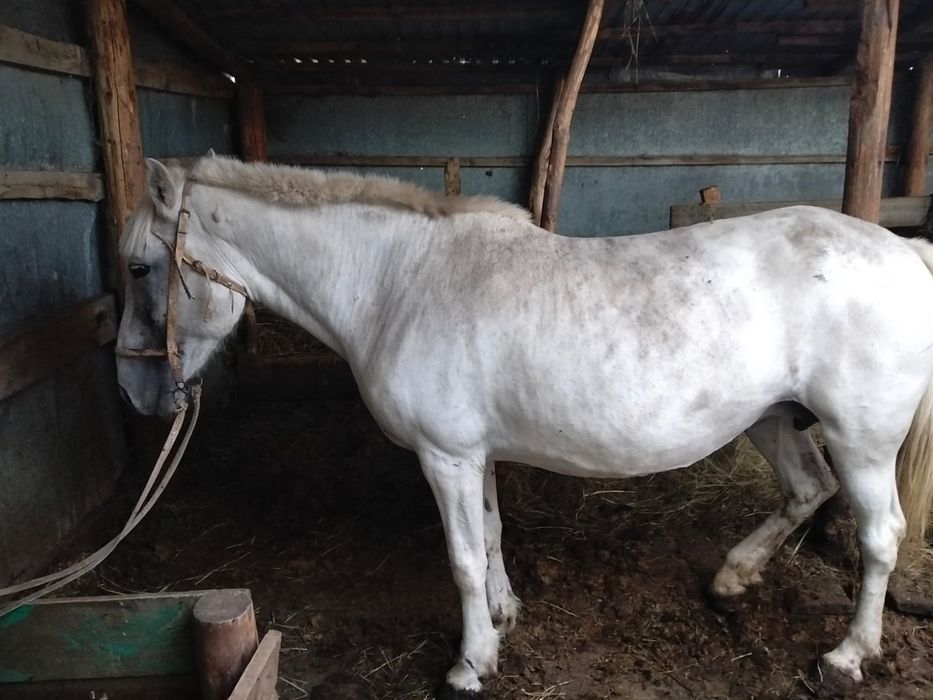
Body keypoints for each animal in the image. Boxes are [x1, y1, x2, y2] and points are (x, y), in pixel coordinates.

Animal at [116, 154, 933, 698]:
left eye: (136, 269)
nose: (132, 389)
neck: (396, 282)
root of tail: (905, 250)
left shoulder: (444, 457)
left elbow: (460, 559)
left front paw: (469, 663)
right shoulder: (470, 454)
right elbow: (490, 534)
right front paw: (504, 614)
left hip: (860, 440)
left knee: (877, 536)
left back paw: (847, 656)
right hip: (773, 421)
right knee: (806, 489)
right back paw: (734, 575)